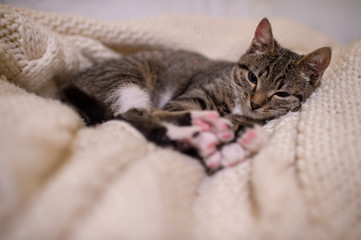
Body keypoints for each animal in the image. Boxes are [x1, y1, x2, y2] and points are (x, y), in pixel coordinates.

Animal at [59, 18, 332, 172]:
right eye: (253, 77)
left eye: (282, 93)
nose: (254, 104)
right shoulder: (184, 101)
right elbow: (175, 112)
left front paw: (236, 140)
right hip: (126, 83)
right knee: (132, 115)